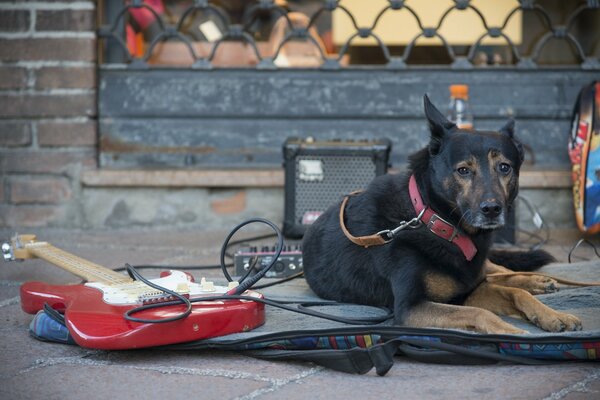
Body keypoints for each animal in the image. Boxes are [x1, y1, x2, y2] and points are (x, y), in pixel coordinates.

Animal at [302, 94, 584, 334]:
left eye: (504, 167)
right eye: (463, 170)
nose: (492, 210)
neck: (435, 221)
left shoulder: (468, 289)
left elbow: (514, 294)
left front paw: (553, 315)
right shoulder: (414, 307)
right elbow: (480, 312)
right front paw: (509, 331)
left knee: (500, 270)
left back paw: (537, 281)